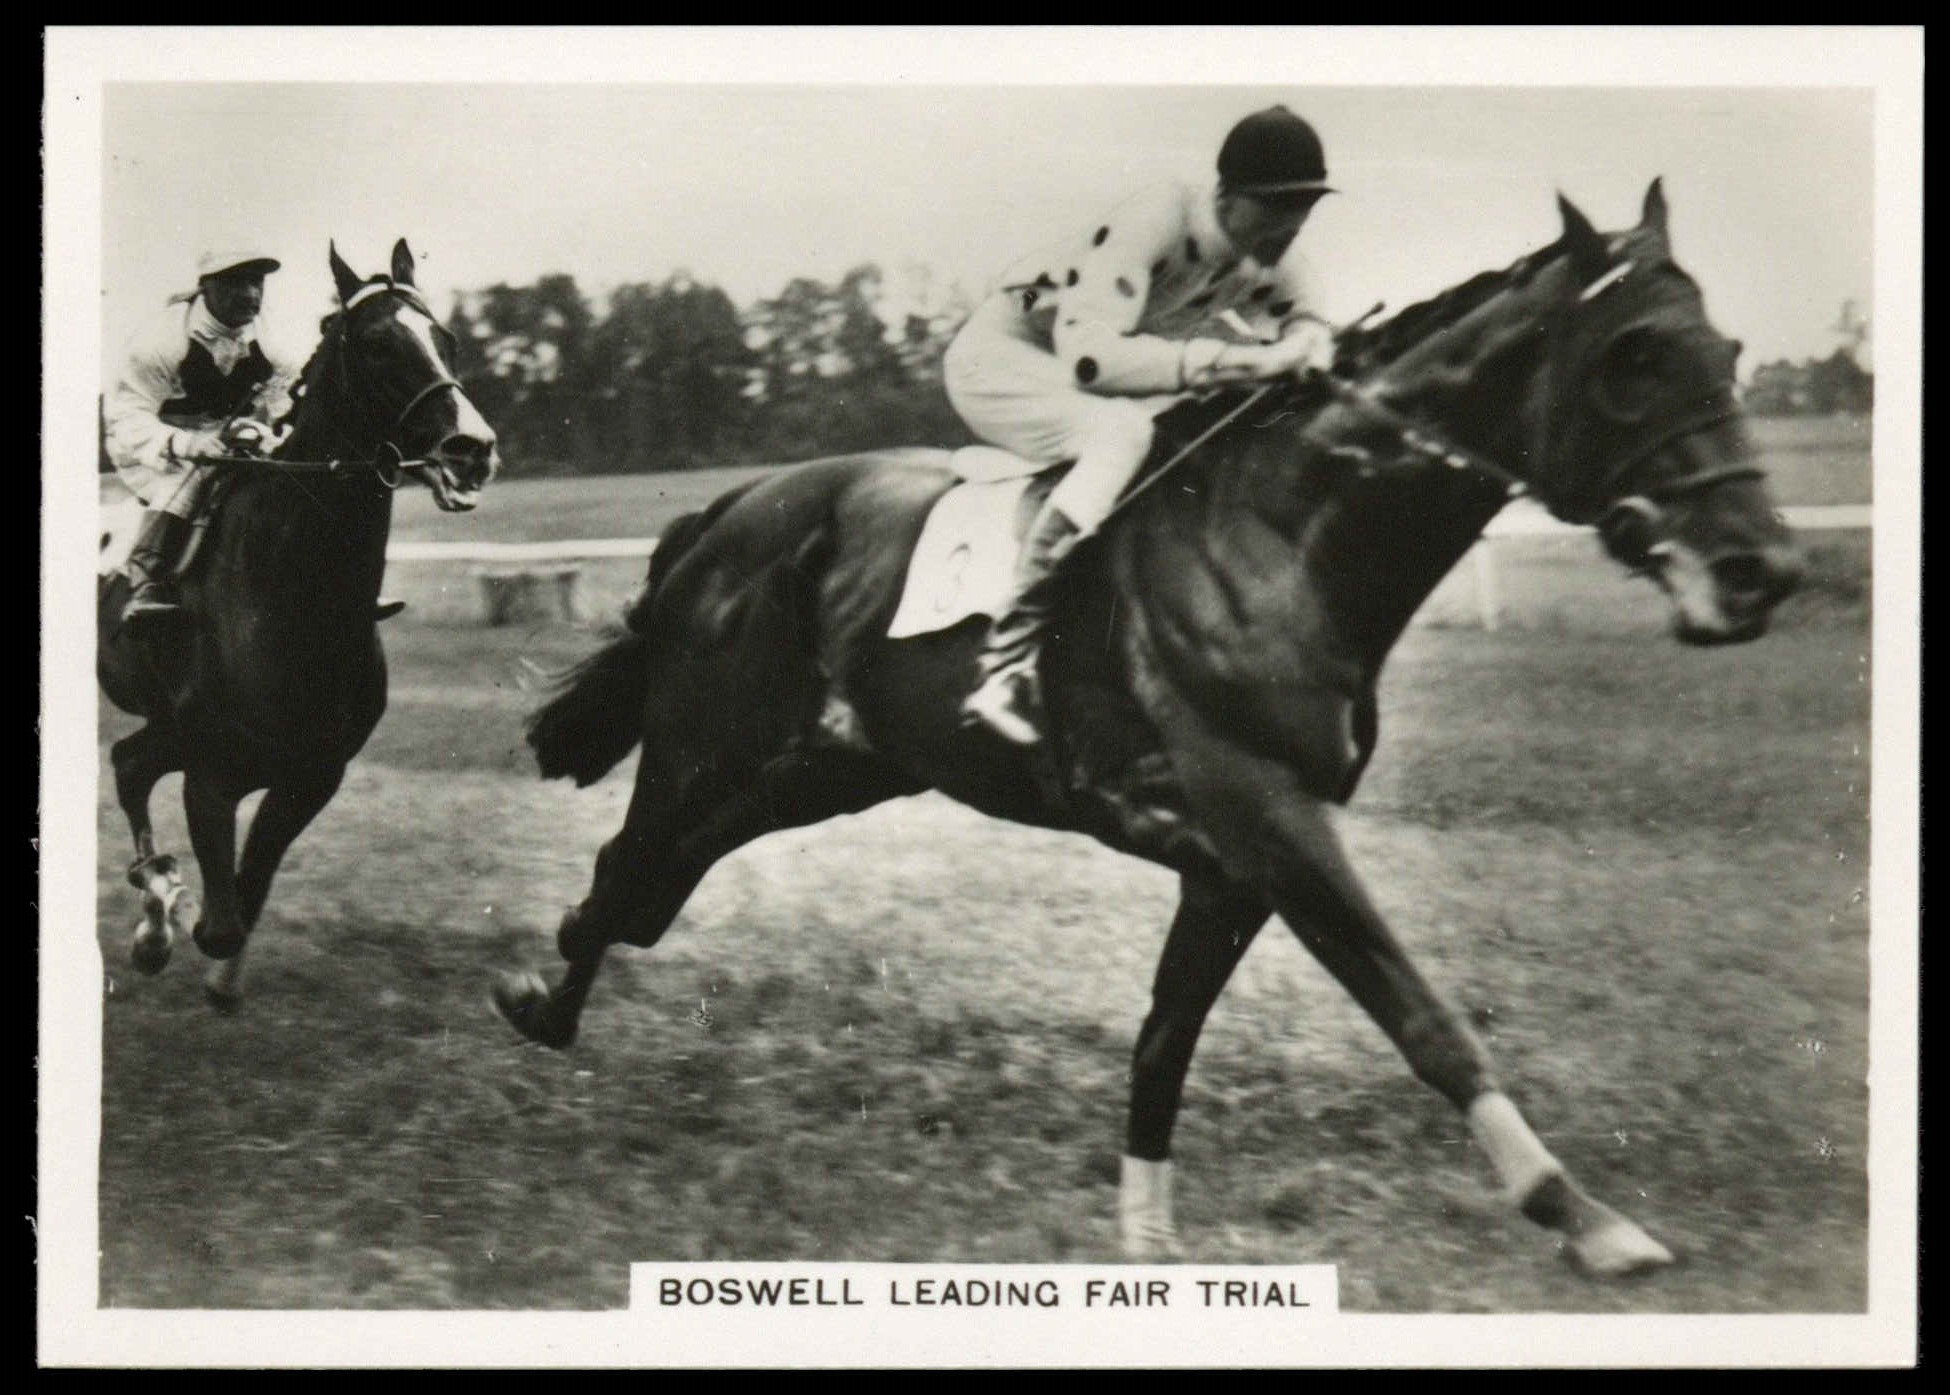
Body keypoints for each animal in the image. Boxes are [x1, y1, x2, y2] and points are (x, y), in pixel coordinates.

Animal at [99, 240, 500, 1008]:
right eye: (376, 344)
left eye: (447, 340)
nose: (471, 449)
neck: (296, 599)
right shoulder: (213, 772)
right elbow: (219, 921)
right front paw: (171, 920)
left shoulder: (311, 773)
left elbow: (247, 898)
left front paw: (215, 970)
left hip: (174, 727)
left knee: (130, 761)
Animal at [493, 184, 1801, 1275]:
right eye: (1633, 357)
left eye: (1730, 353)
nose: (1762, 571)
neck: (1289, 540)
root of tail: (724, 511)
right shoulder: (1271, 819)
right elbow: (1422, 1017)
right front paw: (1580, 1212)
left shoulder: (1232, 865)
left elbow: (1164, 1039)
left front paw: (1147, 1238)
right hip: (707, 743)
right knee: (631, 869)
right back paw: (540, 1002)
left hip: (819, 769)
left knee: (646, 885)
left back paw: (549, 986)